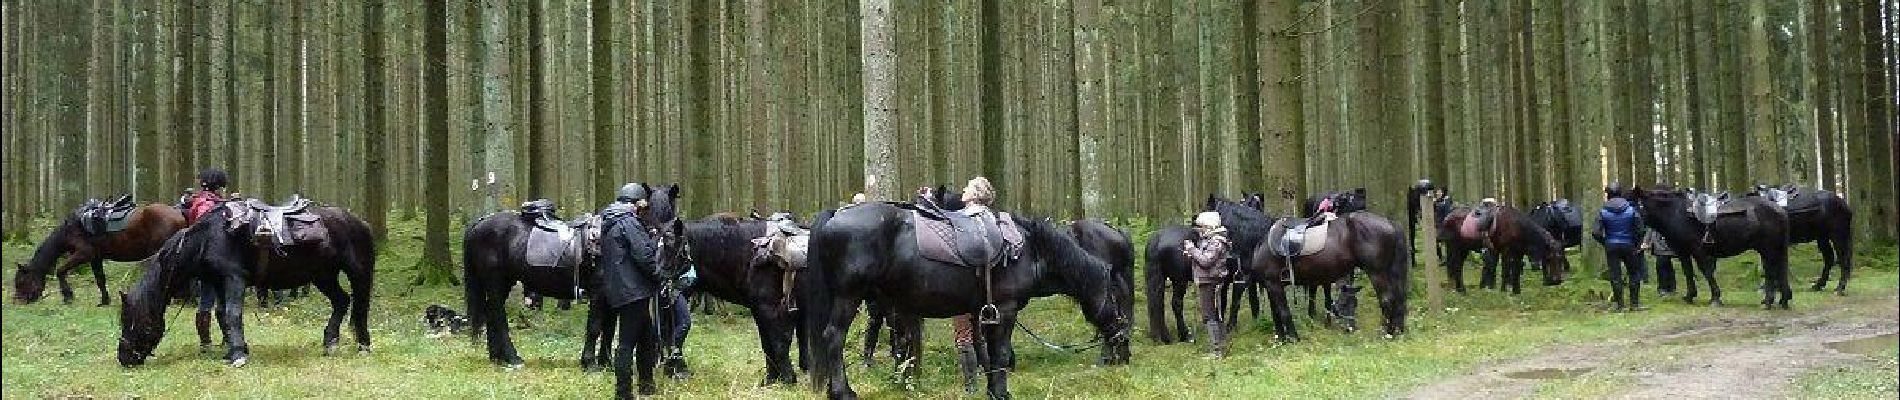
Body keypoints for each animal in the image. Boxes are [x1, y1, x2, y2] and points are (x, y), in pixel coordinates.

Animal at [14, 204, 188, 305]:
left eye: (21, 281)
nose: (18, 301)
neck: (72, 230)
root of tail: (179, 214)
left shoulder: (83, 254)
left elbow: (61, 270)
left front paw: (68, 296)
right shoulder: (95, 258)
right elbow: (100, 279)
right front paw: (104, 300)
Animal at [117, 201, 374, 367]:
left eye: (132, 321)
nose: (124, 358)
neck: (208, 239)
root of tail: (358, 222)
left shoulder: (235, 279)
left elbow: (232, 314)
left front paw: (239, 355)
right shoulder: (219, 282)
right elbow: (221, 315)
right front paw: (233, 351)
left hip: (357, 273)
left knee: (360, 306)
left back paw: (363, 346)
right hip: (323, 276)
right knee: (342, 301)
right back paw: (330, 343)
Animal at [801, 204, 1124, 398]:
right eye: (1118, 298)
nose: (1122, 341)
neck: (1030, 249)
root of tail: (835, 214)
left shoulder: (983, 313)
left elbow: (989, 353)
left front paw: (992, 389)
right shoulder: (1005, 310)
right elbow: (1001, 353)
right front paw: (1001, 392)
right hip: (848, 297)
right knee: (833, 338)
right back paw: (843, 391)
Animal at [1246, 209, 1413, 341]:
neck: (1264, 241)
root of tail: (1390, 223)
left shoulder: (1273, 283)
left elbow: (1283, 312)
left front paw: (1293, 338)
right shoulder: (1271, 285)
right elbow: (1276, 313)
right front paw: (1281, 339)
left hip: (1376, 272)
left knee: (1387, 299)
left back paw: (1386, 333)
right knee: (1399, 298)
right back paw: (1397, 331)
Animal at [1634, 185, 1793, 307]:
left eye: (1634, 204)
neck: (1677, 214)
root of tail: (1779, 210)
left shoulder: (1698, 251)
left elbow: (1707, 271)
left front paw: (1715, 298)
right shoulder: (1683, 252)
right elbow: (1688, 272)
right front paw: (1690, 296)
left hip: (1768, 249)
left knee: (1771, 271)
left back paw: (1768, 301)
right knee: (1779, 270)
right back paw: (1782, 300)